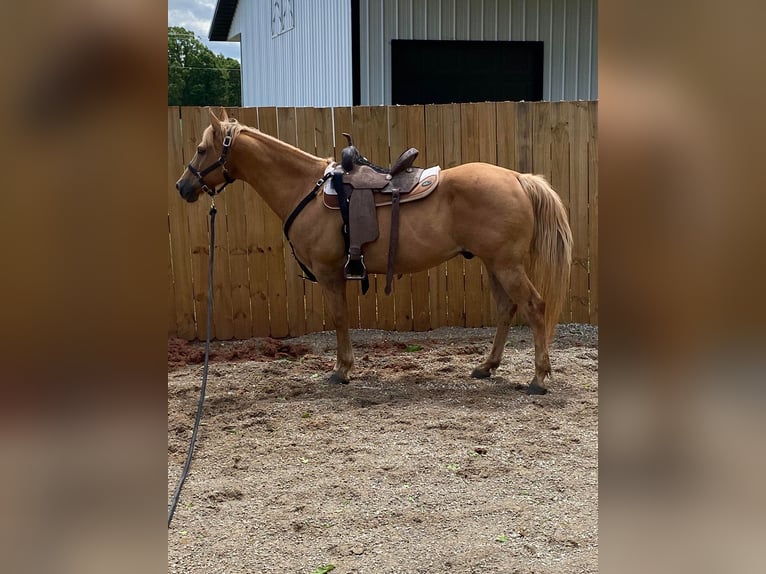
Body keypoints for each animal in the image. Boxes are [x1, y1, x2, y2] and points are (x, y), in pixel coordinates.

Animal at [177, 108, 572, 396]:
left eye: (201, 149)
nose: (183, 186)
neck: (306, 189)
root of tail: (518, 178)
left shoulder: (330, 273)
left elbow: (339, 319)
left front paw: (342, 370)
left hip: (506, 266)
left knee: (535, 307)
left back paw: (538, 378)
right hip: (495, 264)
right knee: (507, 309)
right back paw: (487, 367)